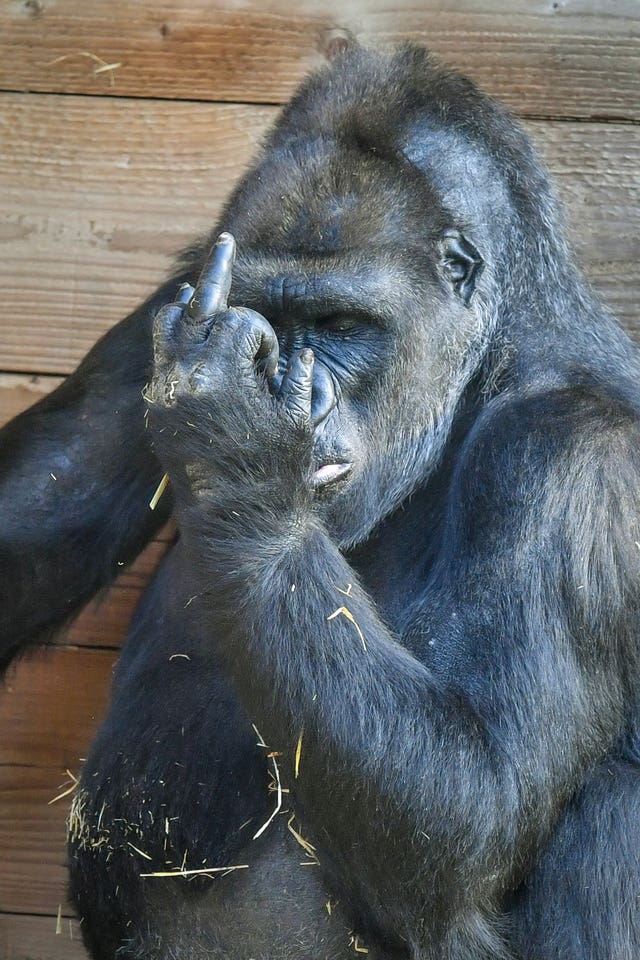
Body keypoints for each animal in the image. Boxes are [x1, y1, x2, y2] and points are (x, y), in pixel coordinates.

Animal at [1, 43, 640, 960]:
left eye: (341, 324)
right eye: (263, 314)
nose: (291, 389)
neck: (491, 359)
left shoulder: (576, 462)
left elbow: (473, 800)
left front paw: (237, 440)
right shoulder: (171, 307)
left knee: (608, 810)